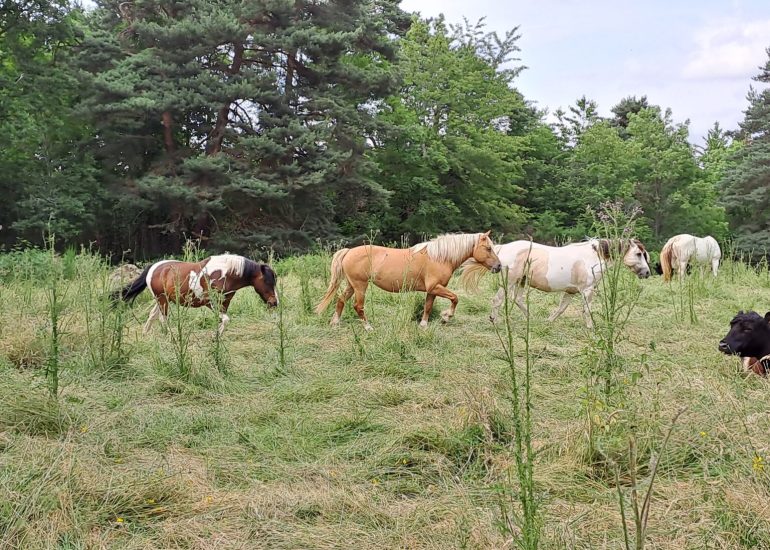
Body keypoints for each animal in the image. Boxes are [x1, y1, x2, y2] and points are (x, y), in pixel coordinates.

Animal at [112, 256, 278, 336]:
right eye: (267, 281)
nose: (274, 302)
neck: (226, 273)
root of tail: (154, 267)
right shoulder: (212, 303)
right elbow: (226, 320)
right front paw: (215, 337)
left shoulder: (224, 303)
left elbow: (224, 321)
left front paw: (217, 337)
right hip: (162, 300)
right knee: (162, 318)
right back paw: (169, 336)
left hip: (162, 300)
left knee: (152, 315)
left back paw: (145, 334)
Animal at [316, 234, 500, 332]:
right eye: (488, 248)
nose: (498, 266)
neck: (439, 257)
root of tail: (348, 251)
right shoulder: (436, 287)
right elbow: (455, 298)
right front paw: (446, 317)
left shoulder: (432, 290)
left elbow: (428, 307)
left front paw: (423, 325)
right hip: (360, 286)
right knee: (358, 306)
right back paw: (368, 327)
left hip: (352, 285)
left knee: (340, 300)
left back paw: (335, 323)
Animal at [460, 238, 652, 328]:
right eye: (638, 254)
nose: (647, 273)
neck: (592, 257)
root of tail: (503, 248)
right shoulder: (587, 290)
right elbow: (587, 310)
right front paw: (592, 327)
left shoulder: (570, 291)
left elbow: (561, 309)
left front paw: (548, 321)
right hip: (510, 281)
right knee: (498, 300)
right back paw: (495, 320)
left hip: (521, 281)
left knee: (518, 300)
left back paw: (531, 319)